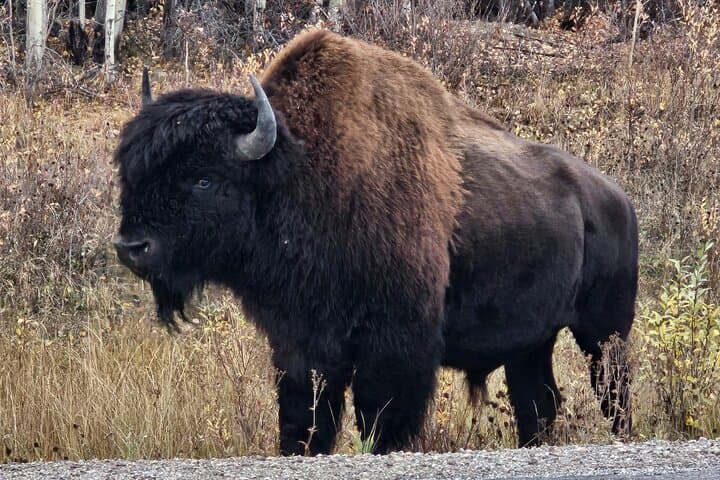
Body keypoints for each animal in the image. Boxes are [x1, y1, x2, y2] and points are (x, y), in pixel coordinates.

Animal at [113, 29, 638, 454]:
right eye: (131, 173)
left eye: (204, 179)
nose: (131, 247)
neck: (297, 172)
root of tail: (616, 199)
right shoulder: (299, 343)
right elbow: (304, 420)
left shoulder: (394, 346)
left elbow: (381, 420)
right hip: (533, 344)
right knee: (538, 402)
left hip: (604, 334)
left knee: (614, 394)